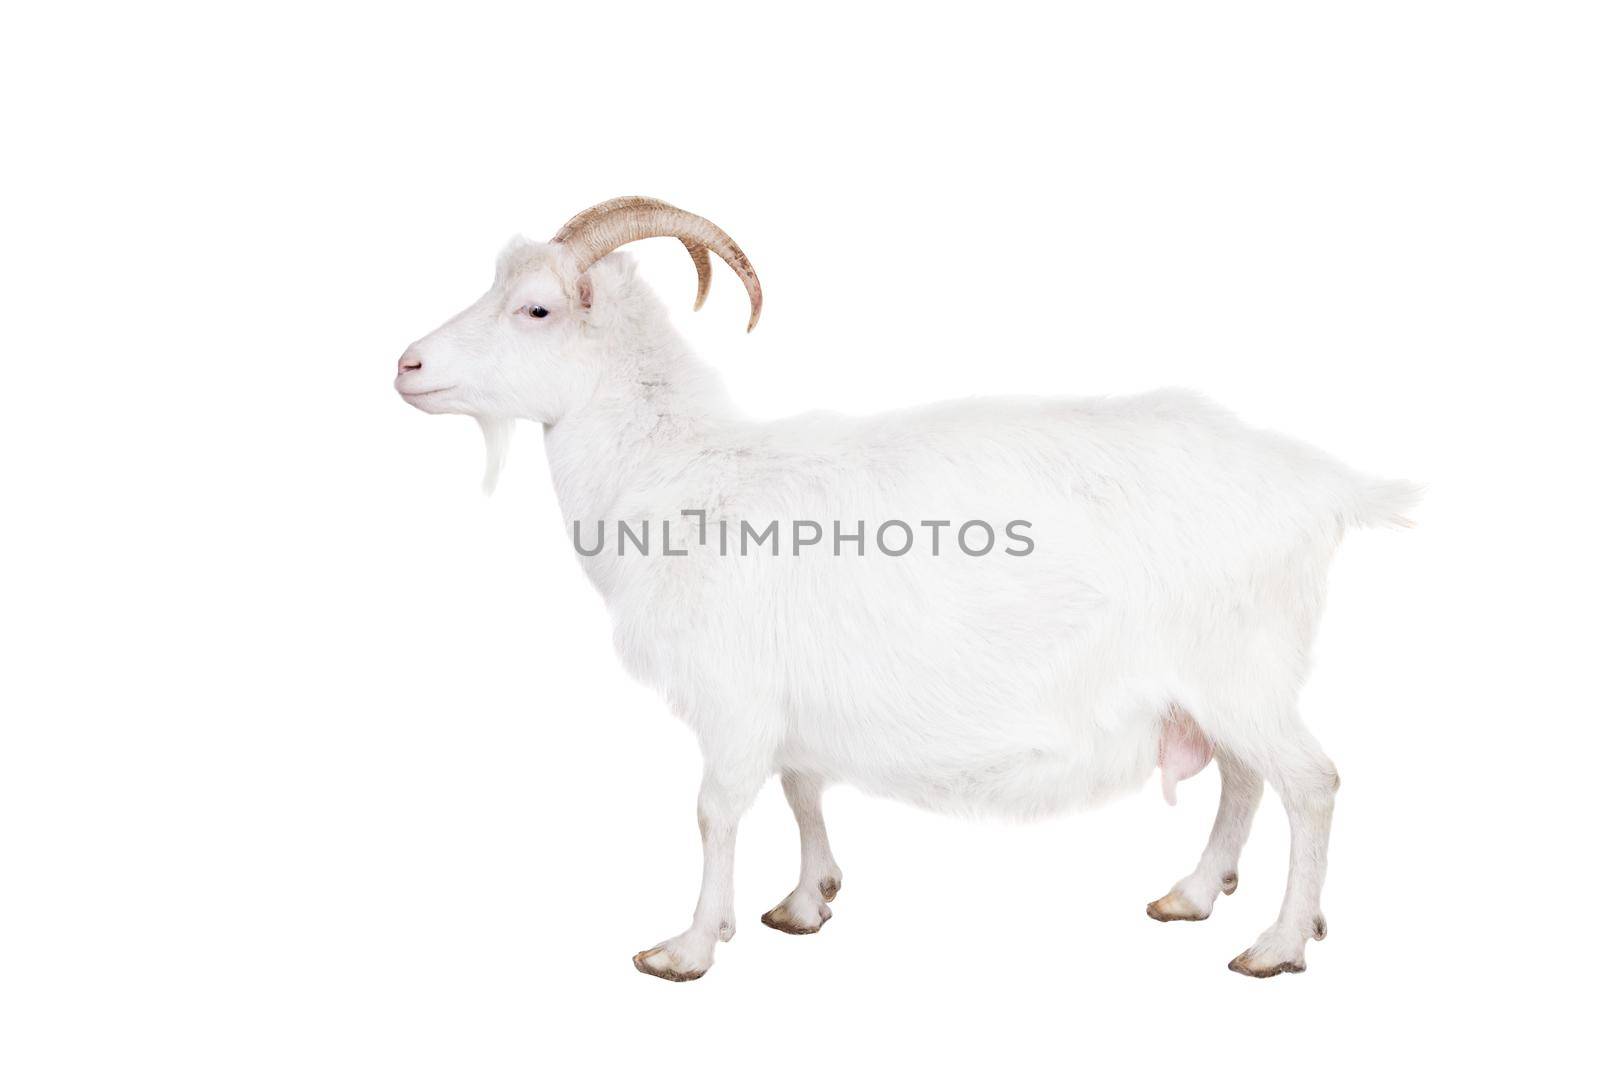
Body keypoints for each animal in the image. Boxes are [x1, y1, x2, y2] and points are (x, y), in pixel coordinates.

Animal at [393, 198, 1420, 985]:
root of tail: (1321, 485)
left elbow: (717, 810)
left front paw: (686, 946)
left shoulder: (732, 698)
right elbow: (803, 785)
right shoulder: (789, 700)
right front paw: (804, 901)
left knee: (1310, 782)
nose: (406, 365)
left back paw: (1276, 943)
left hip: (1240, 665)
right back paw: (1194, 894)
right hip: (1217, 681)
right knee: (1245, 778)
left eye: (535, 309)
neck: (687, 475)